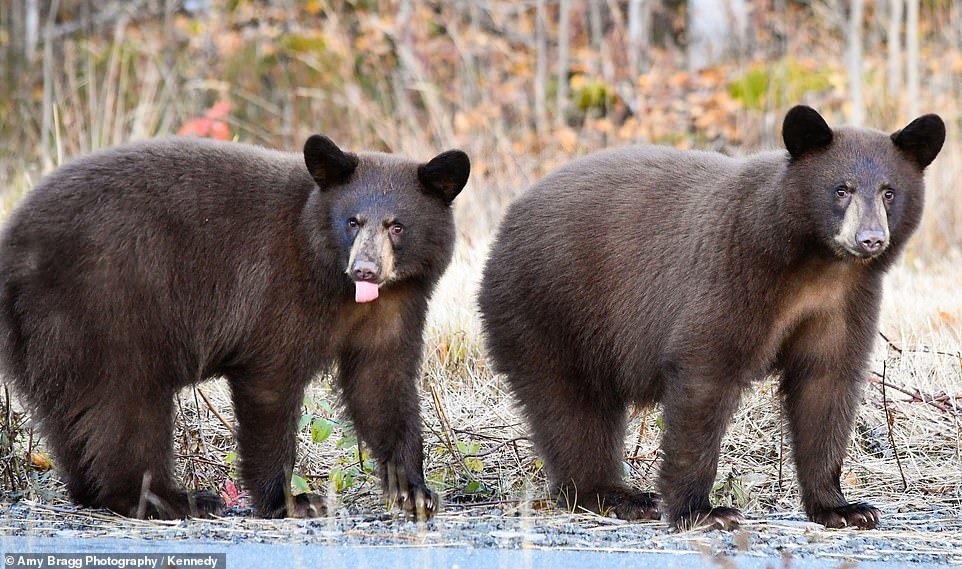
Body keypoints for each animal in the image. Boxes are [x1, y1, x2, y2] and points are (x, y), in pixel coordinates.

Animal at [0, 133, 468, 520]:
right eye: (352, 221)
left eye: (397, 225)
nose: (365, 270)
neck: (337, 284)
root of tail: (14, 247)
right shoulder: (279, 292)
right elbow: (271, 386)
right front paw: (292, 500)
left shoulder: (396, 305)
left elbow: (382, 384)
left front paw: (414, 491)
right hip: (107, 304)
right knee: (126, 406)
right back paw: (168, 499)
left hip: (50, 331)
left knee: (70, 413)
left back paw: (92, 491)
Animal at [476, 105, 940, 528]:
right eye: (841, 190)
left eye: (889, 192)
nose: (870, 238)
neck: (814, 266)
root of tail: (509, 218)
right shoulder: (732, 273)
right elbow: (704, 375)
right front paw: (702, 511)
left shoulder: (845, 302)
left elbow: (826, 384)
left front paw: (843, 508)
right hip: (551, 306)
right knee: (571, 408)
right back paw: (615, 496)